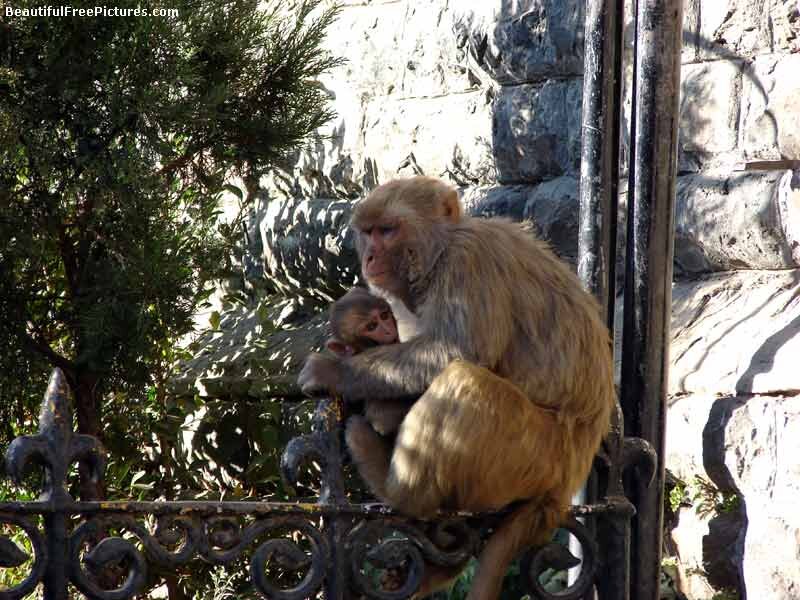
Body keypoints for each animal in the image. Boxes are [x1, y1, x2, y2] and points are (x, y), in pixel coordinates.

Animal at [298, 176, 615, 600]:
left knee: (465, 380)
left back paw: (398, 490)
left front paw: (334, 371)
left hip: (537, 454)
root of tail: (566, 484)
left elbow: (457, 350)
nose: (369, 259)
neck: (439, 253)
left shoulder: (468, 260)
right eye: (368, 233)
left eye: (388, 230)